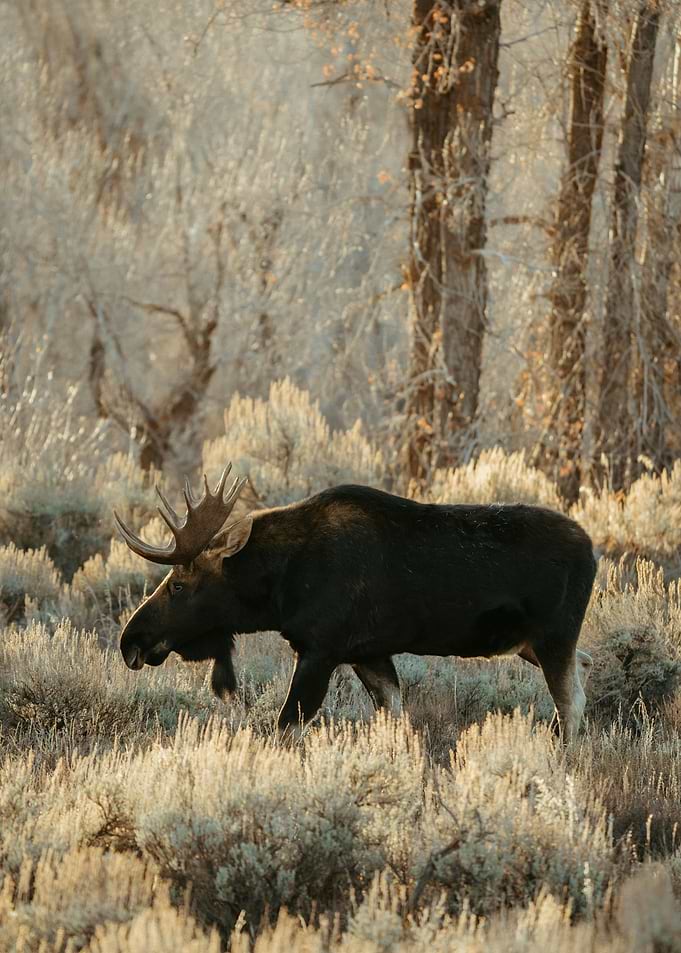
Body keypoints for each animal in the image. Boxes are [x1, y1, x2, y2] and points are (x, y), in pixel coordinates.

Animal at [115, 464, 596, 742]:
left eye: (179, 585)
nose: (131, 640)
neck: (279, 587)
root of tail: (593, 552)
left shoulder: (321, 649)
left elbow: (286, 726)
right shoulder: (368, 653)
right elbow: (395, 717)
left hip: (553, 637)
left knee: (571, 702)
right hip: (536, 645)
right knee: (585, 671)